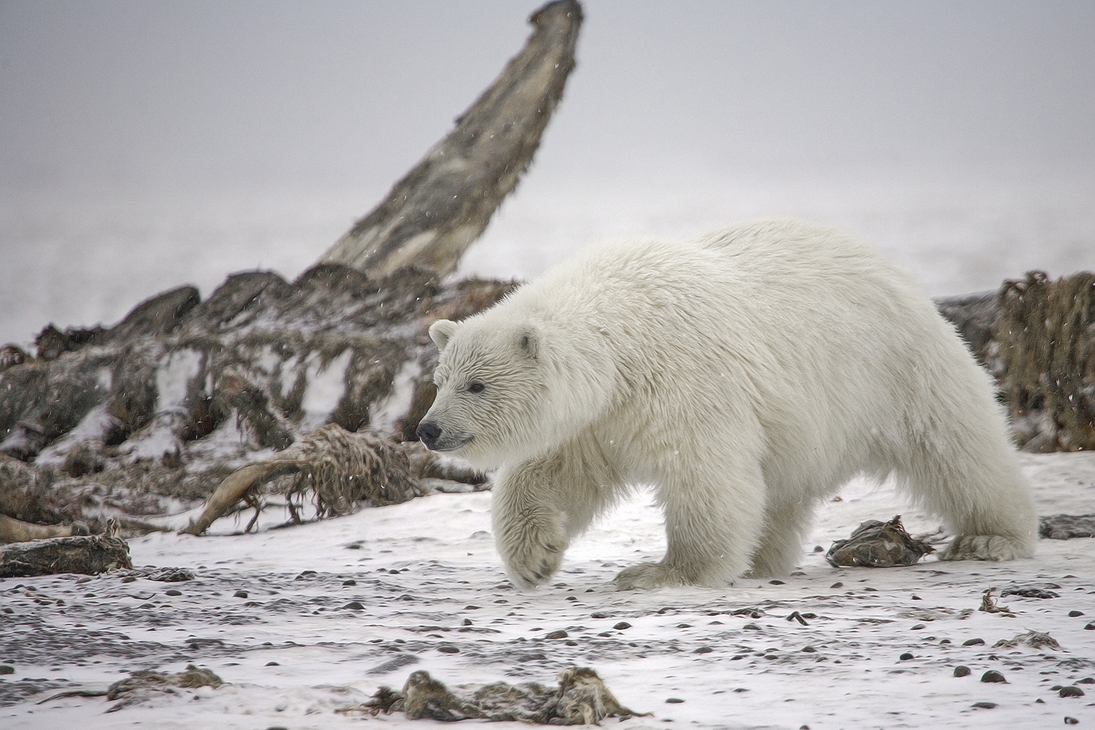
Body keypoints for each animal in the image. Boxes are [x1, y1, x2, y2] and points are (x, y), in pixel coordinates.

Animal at [416, 219, 1033, 591]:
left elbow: (704, 474)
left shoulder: (684, 377)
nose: (428, 429)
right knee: (781, 492)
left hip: (898, 367)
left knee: (958, 446)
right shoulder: (598, 416)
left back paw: (991, 537)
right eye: (439, 380)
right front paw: (535, 557)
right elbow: (551, 470)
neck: (620, 337)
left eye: (476, 386)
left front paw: (661, 573)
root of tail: (893, 269)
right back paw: (764, 558)